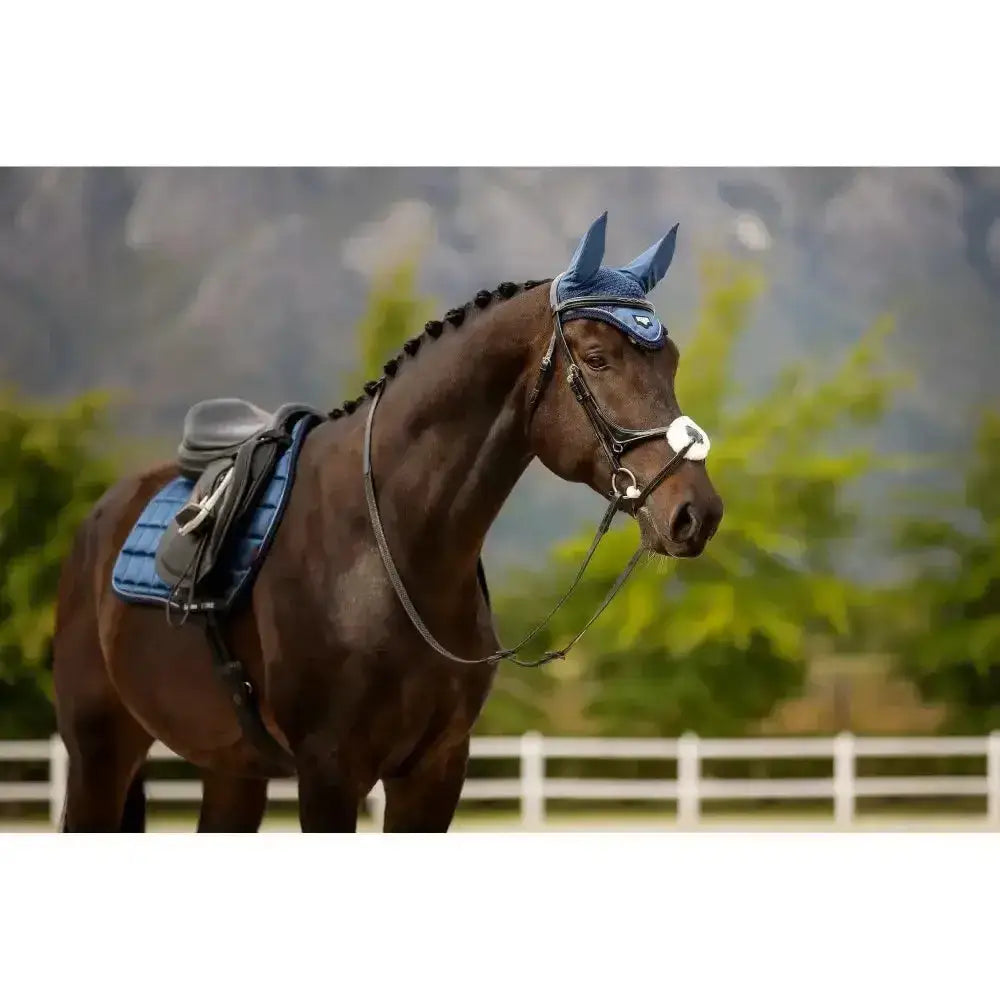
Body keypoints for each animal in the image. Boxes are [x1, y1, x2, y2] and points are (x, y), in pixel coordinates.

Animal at [51, 212, 723, 832]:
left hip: (230, 770)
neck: (385, 551)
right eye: (598, 359)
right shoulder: (329, 772)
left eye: (671, 361)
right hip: (98, 753)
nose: (698, 513)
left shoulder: (434, 771)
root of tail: (102, 515)